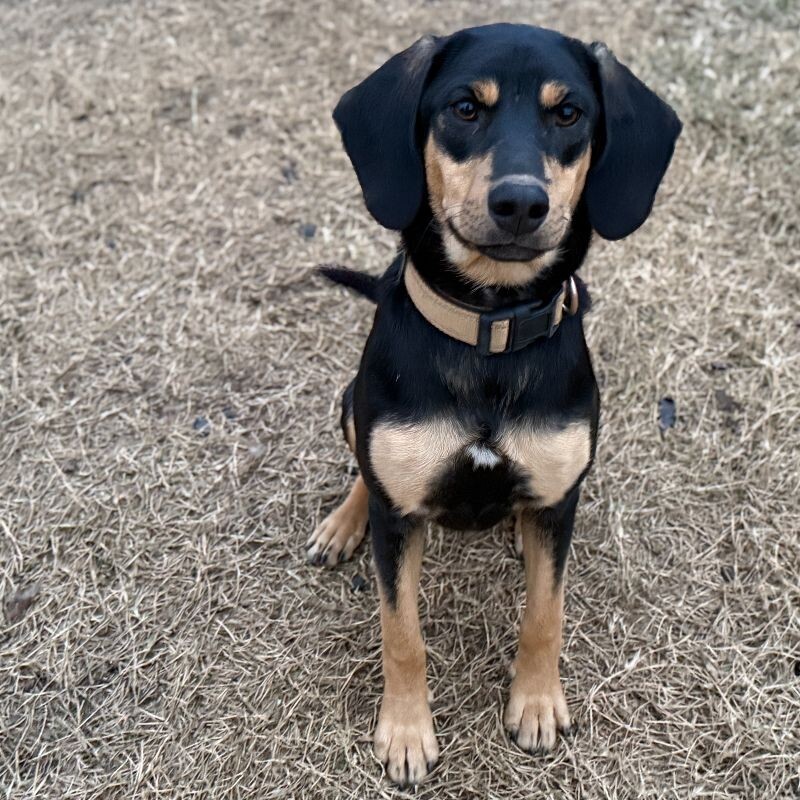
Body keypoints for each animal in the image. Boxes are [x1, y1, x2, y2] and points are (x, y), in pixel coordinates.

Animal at [306, 23, 680, 788]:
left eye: (568, 113)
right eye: (464, 109)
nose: (520, 204)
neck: (491, 330)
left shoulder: (562, 501)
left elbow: (546, 614)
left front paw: (535, 704)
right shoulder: (399, 520)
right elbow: (402, 633)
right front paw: (406, 733)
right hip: (352, 403)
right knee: (364, 464)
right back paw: (345, 520)